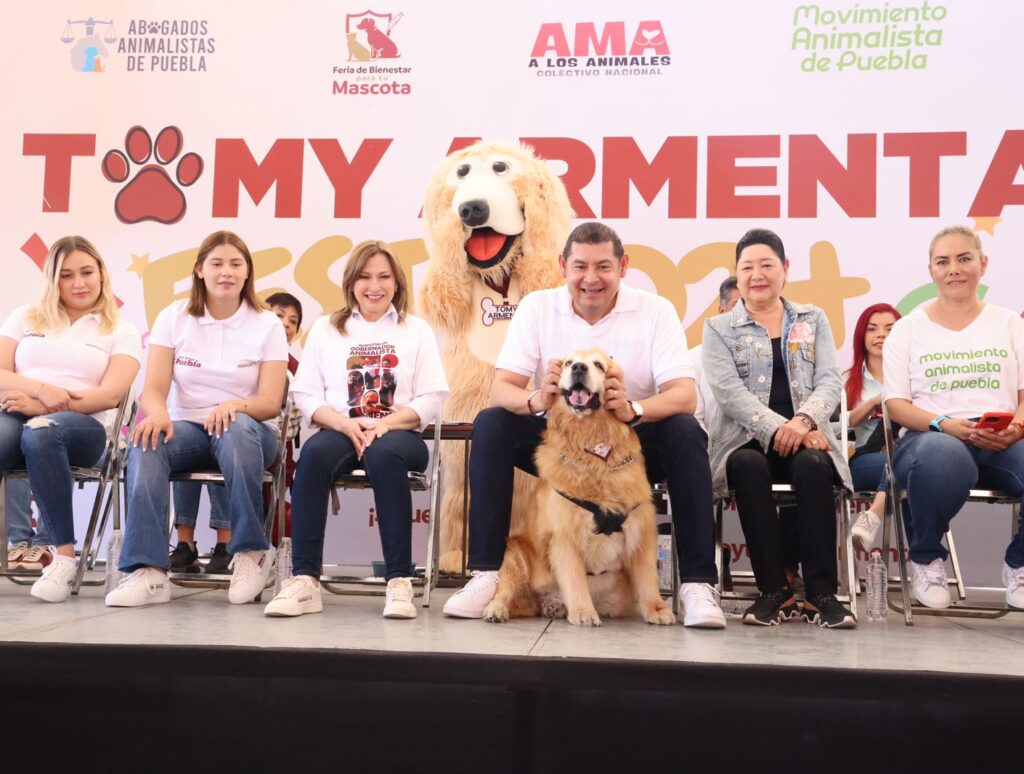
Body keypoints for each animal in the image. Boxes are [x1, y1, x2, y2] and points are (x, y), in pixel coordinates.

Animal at [419, 140, 573, 573]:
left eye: (501, 167)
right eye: (463, 171)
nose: (472, 209)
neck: (498, 277)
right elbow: (443, 290)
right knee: (460, 497)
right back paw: (455, 558)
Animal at [483, 350, 675, 630]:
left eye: (599, 365)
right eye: (567, 363)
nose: (579, 368)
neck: (593, 449)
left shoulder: (642, 532)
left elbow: (648, 580)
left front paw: (657, 610)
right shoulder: (565, 535)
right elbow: (574, 579)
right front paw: (584, 611)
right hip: (515, 556)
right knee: (504, 589)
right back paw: (496, 609)